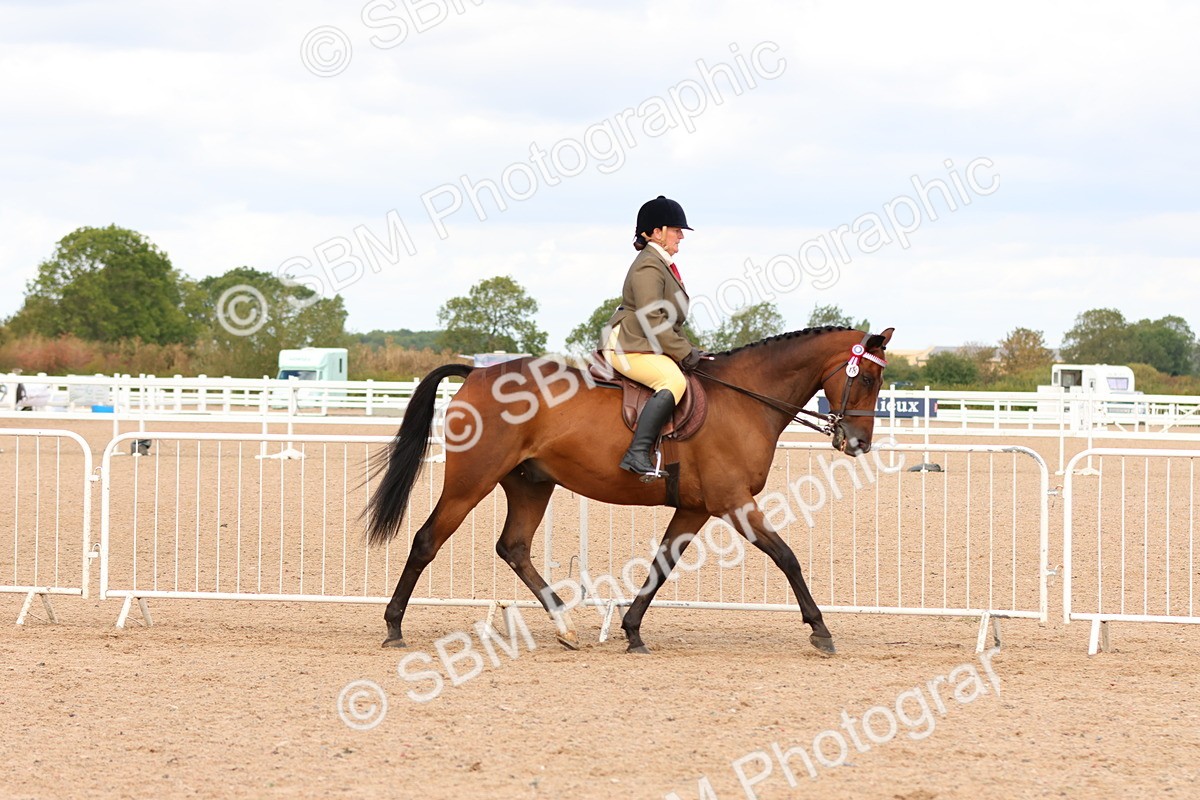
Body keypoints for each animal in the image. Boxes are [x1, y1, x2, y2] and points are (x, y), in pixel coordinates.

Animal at [365, 325, 893, 654]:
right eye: (867, 377)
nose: (859, 443)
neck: (744, 398)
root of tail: (477, 372)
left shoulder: (696, 508)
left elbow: (662, 564)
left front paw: (633, 631)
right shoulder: (733, 502)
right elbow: (786, 557)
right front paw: (820, 629)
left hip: (531, 484)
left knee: (513, 547)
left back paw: (566, 627)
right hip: (470, 481)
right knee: (427, 541)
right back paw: (393, 626)